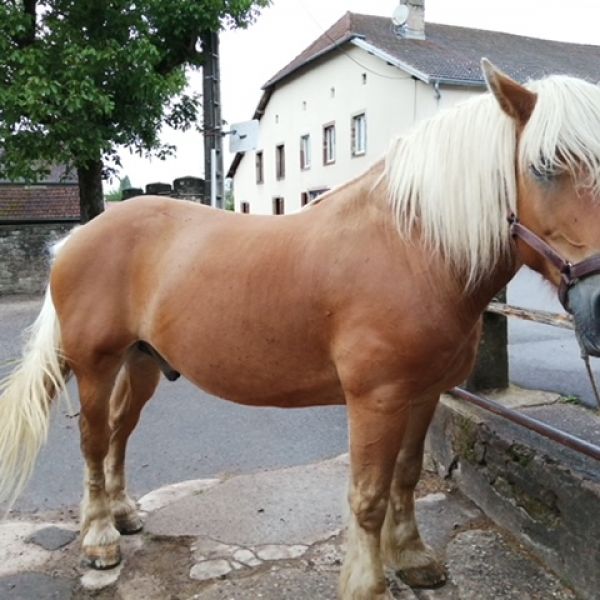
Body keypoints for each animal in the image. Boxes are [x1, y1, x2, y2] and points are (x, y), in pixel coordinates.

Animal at [1, 62, 600, 600]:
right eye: (543, 166)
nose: (596, 305)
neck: (413, 248)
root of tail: (78, 235)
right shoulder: (377, 399)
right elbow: (368, 495)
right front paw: (368, 586)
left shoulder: (424, 394)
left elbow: (405, 476)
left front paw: (412, 558)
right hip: (95, 365)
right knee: (94, 440)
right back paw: (100, 538)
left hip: (142, 361)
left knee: (120, 433)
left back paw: (123, 514)